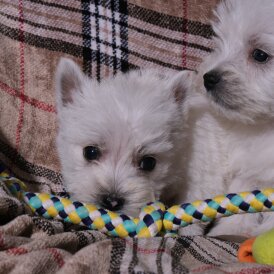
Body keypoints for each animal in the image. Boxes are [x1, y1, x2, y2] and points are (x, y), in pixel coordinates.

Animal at [183, 0, 274, 238]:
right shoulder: (251, 170)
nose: (208, 78)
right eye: (220, 43)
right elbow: (242, 201)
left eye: (260, 55)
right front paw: (230, 230)